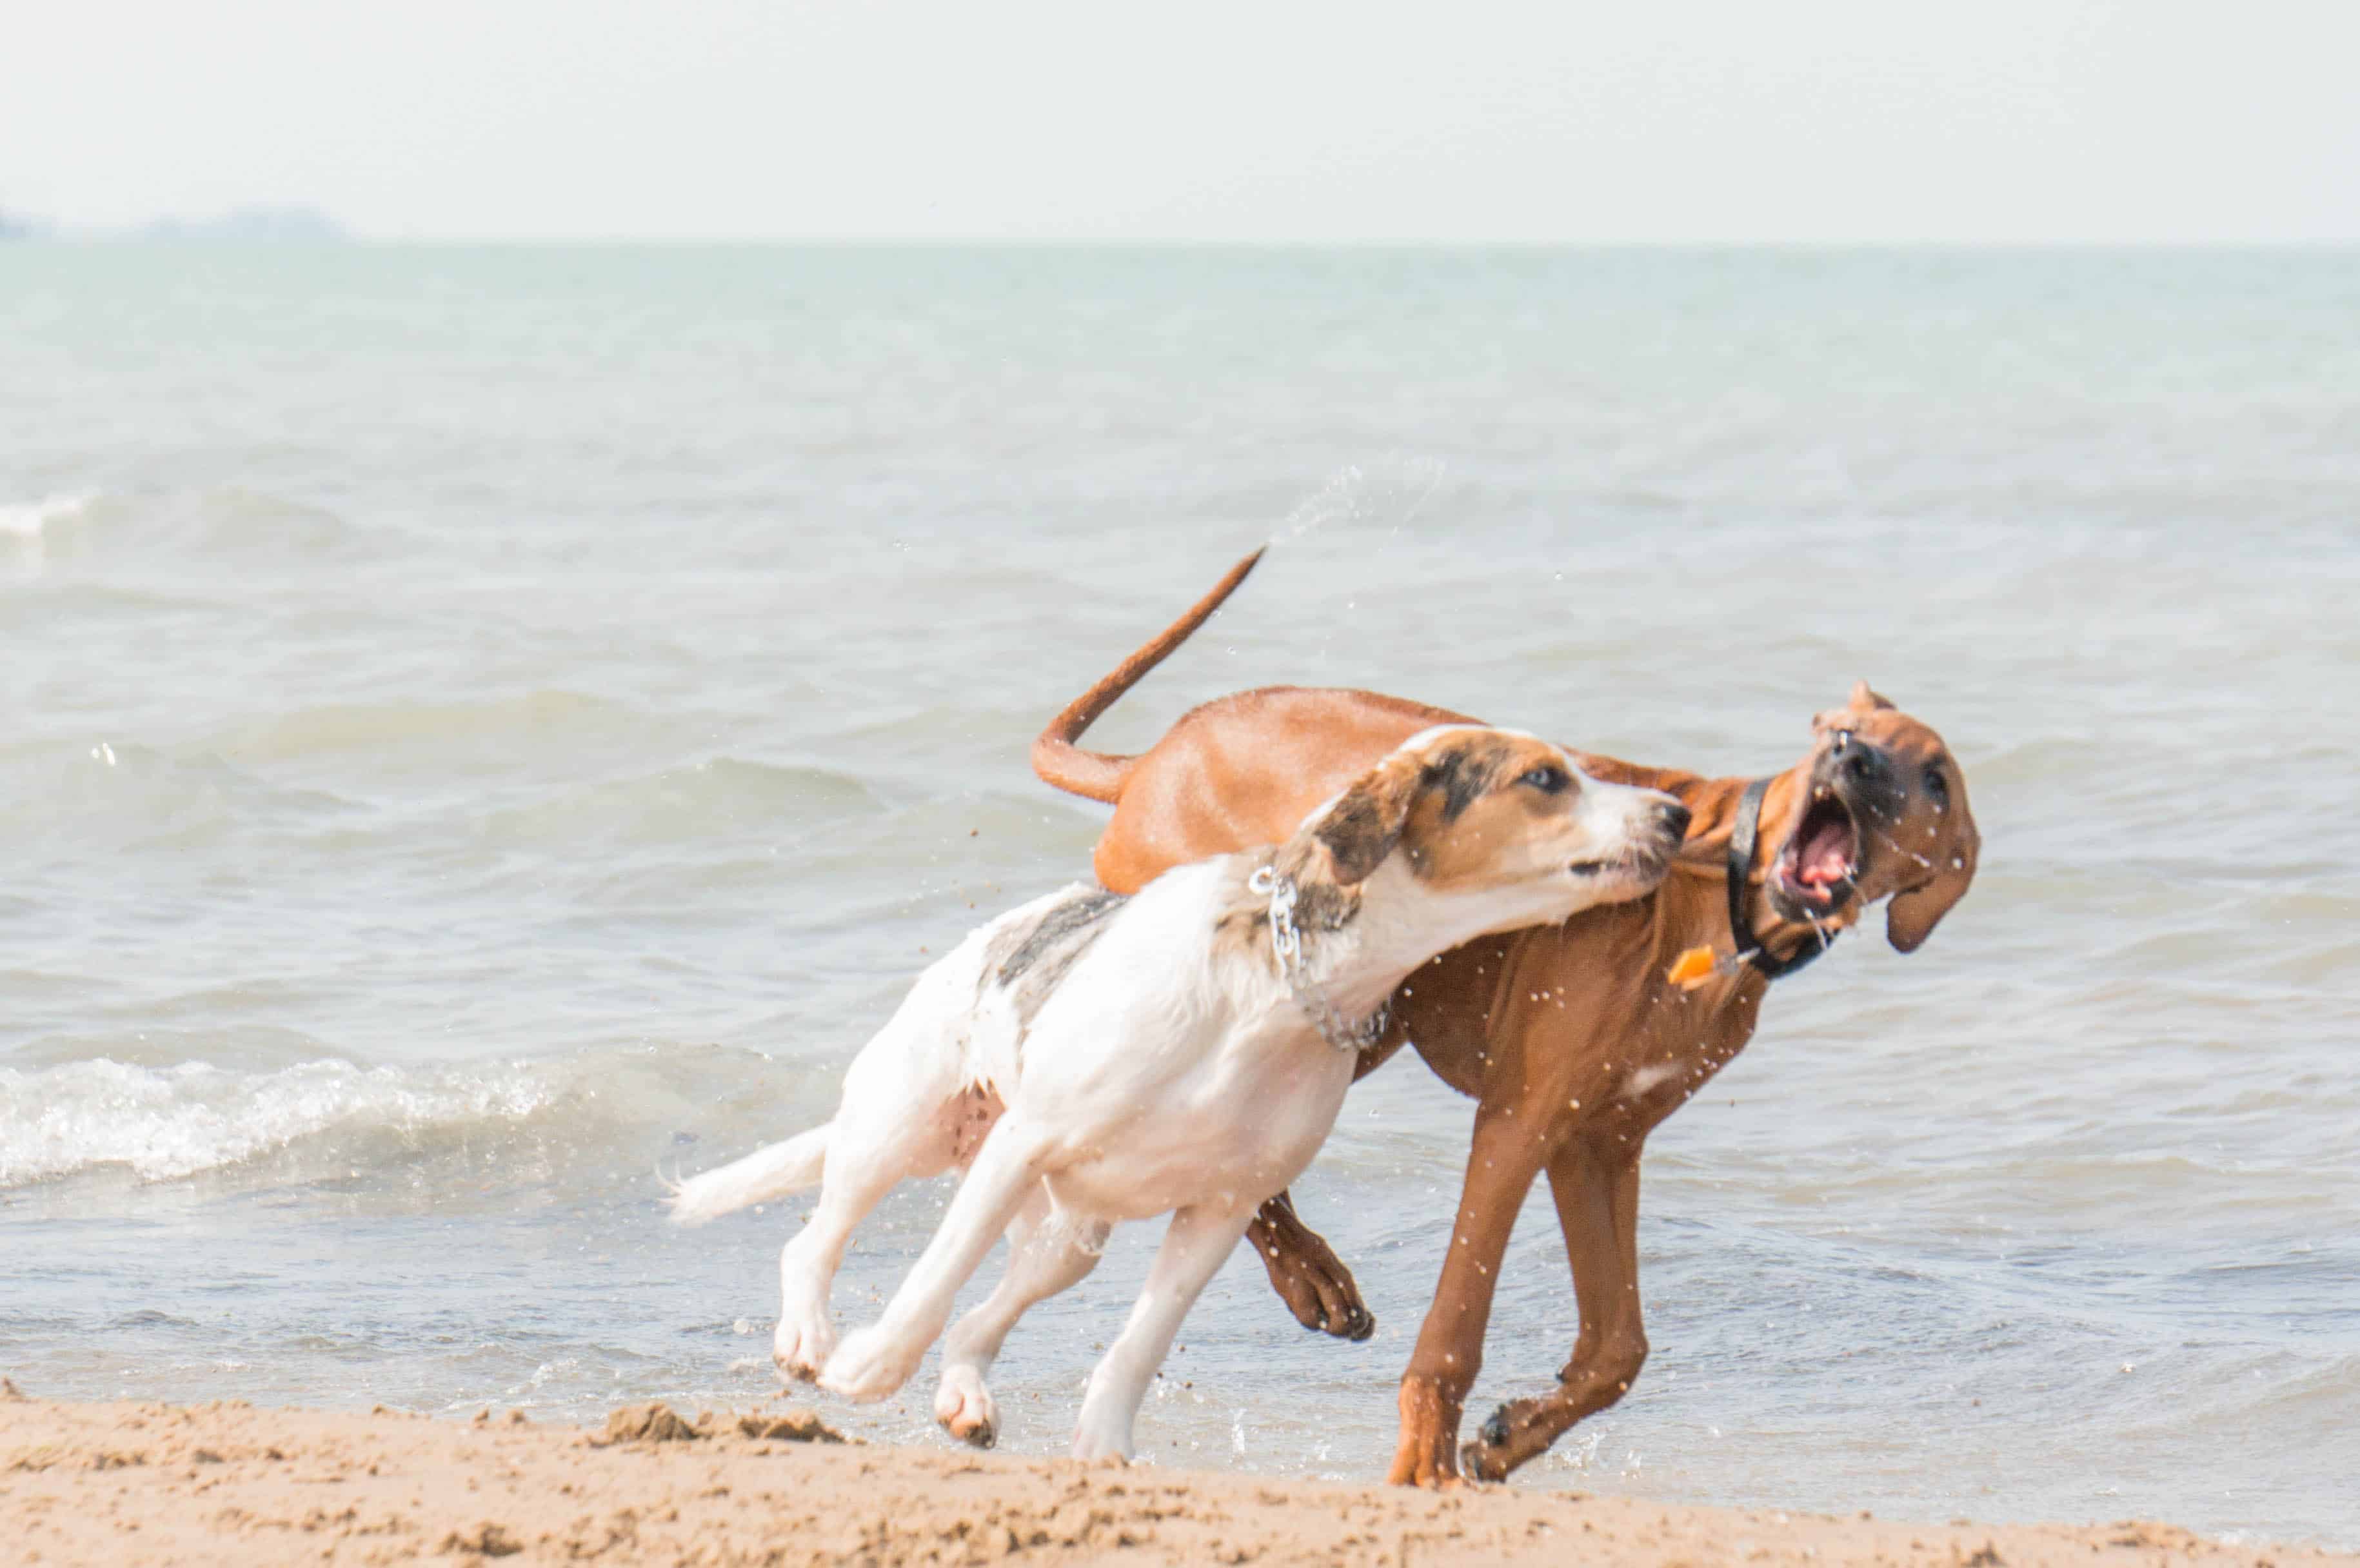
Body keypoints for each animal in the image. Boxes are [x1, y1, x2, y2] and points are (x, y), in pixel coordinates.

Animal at [675, 727, 1689, 1464]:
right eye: (1543, 778)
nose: (1678, 813)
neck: (1277, 988)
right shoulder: (1025, 1142)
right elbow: (929, 1277)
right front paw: (873, 1362)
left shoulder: (1221, 1208)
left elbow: (1141, 1340)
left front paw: (1104, 1444)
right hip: (903, 1131)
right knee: (817, 1238)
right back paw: (812, 1337)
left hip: (1066, 1236)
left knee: (979, 1318)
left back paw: (965, 1396)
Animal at [1029, 550, 1972, 1483]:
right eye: (1835, 732)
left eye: (1932, 778)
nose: (1849, 758)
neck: (1717, 905)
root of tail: (1147, 760)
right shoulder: (1519, 1120)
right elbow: (1455, 1323)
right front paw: (1423, 1464)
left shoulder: (1598, 1139)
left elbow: (1617, 1345)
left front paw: (1510, 1434)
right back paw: (1309, 1274)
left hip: (1360, 1019)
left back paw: (1312, 1275)